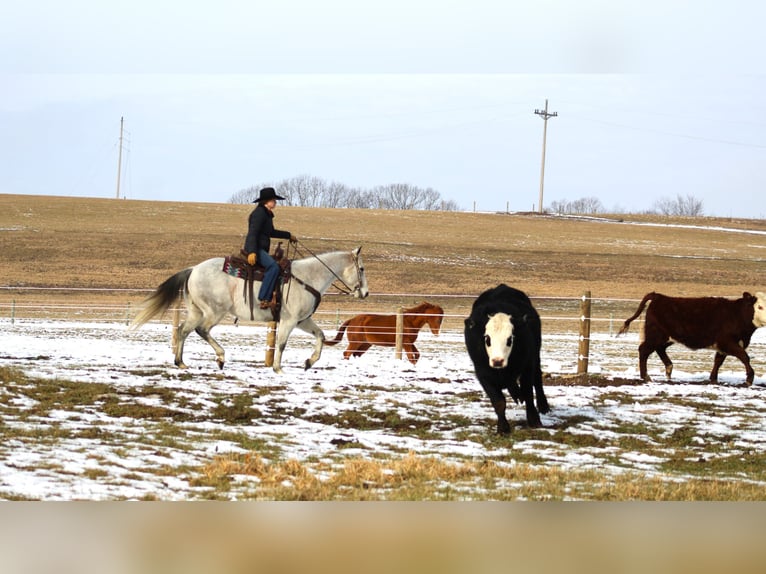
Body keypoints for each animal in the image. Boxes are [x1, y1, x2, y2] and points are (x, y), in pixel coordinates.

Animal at [130, 248, 368, 374]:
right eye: (362, 268)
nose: (365, 293)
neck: (307, 278)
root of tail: (193, 269)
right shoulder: (289, 321)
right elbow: (281, 343)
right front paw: (278, 368)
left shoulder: (303, 321)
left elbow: (320, 335)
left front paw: (309, 362)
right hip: (213, 312)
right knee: (202, 330)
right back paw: (220, 357)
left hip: (197, 311)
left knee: (183, 331)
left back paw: (180, 362)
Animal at [462, 286, 552, 434]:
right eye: (487, 338)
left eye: (510, 339)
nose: (497, 361)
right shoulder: (483, 374)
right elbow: (498, 401)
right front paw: (503, 428)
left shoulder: (527, 366)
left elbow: (528, 393)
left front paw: (534, 420)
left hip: (536, 355)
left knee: (537, 379)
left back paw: (543, 405)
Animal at [616, 292, 766, 388]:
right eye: (760, 306)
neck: (736, 314)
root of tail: (659, 296)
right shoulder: (728, 342)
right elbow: (744, 357)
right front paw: (749, 379)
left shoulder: (722, 346)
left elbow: (718, 361)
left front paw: (713, 379)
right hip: (656, 335)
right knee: (643, 350)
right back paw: (645, 376)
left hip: (666, 337)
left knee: (659, 349)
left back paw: (669, 369)